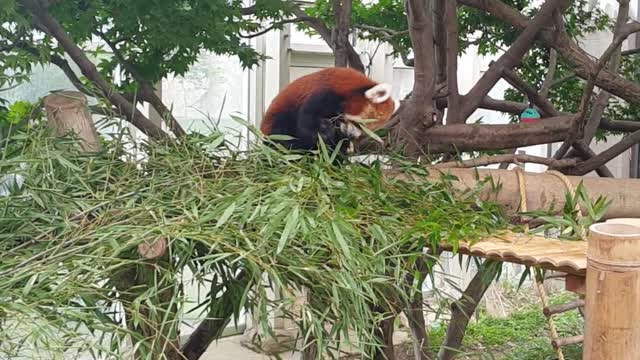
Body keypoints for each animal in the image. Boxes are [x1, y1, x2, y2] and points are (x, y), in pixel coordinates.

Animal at [258, 67, 398, 153]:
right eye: (359, 125)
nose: (352, 135)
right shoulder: (322, 93)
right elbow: (306, 123)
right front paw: (325, 131)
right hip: (277, 123)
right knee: (282, 137)